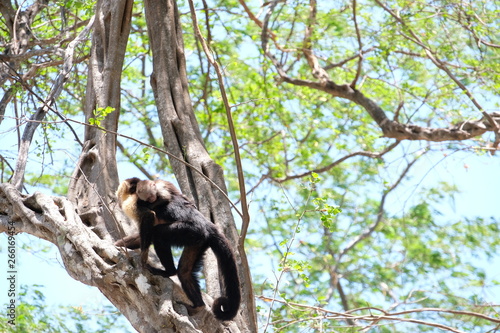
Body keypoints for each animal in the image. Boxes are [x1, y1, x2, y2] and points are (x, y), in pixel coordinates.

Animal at [115, 178, 240, 320]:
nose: (117, 196)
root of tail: (209, 225)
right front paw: (117, 244)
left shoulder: (133, 204)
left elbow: (149, 216)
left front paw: (143, 257)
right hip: (199, 240)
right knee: (184, 271)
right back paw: (199, 306)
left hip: (191, 230)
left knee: (158, 235)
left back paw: (168, 272)